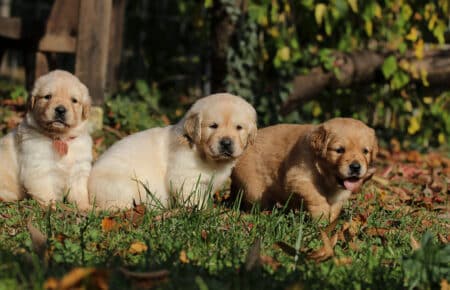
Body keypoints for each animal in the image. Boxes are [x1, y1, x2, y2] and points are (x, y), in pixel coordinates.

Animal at [0, 69, 92, 208]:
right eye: (48, 96)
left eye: (74, 100)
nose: (60, 110)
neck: (60, 138)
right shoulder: (39, 169)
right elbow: (46, 193)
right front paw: (52, 208)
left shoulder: (78, 168)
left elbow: (80, 192)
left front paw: (85, 207)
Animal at [88, 94, 256, 210]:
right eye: (213, 126)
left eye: (239, 127)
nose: (226, 143)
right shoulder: (185, 177)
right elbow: (193, 197)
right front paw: (201, 211)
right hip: (127, 187)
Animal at [230, 118, 378, 222]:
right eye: (339, 150)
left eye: (365, 151)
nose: (356, 167)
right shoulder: (298, 177)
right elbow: (316, 196)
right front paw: (321, 217)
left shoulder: (340, 193)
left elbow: (335, 207)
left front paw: (331, 223)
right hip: (254, 189)